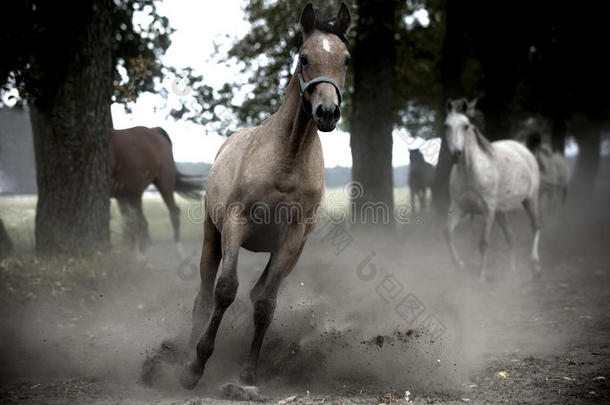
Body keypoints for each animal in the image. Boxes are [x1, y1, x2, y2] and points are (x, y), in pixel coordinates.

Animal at [110, 125, 201, 256]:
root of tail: (154, 130)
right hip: (129, 193)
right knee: (135, 222)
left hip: (163, 184)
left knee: (171, 213)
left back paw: (179, 252)